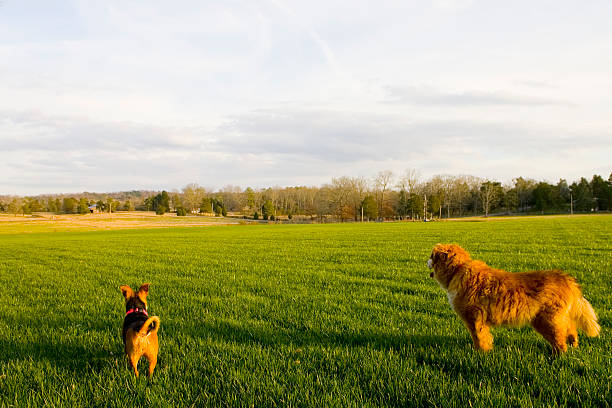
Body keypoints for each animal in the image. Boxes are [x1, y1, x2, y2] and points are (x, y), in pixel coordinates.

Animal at [428, 244, 600, 352]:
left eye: (432, 256)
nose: (426, 260)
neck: (458, 270)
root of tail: (564, 277)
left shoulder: (474, 319)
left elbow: (479, 338)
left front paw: (480, 353)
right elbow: (485, 337)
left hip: (547, 320)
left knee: (560, 340)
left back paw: (557, 356)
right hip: (555, 317)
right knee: (571, 329)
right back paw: (573, 345)